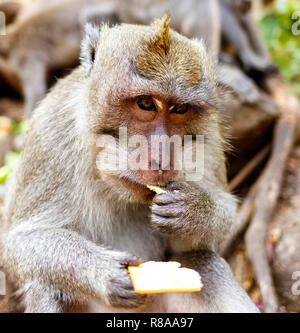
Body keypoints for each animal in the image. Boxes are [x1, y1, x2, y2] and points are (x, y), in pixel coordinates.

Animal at [0, 15, 258, 312]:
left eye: (180, 109)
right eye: (145, 103)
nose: (161, 160)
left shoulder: (209, 141)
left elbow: (204, 242)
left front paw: (193, 211)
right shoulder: (51, 136)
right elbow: (20, 242)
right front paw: (105, 272)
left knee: (201, 264)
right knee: (47, 286)